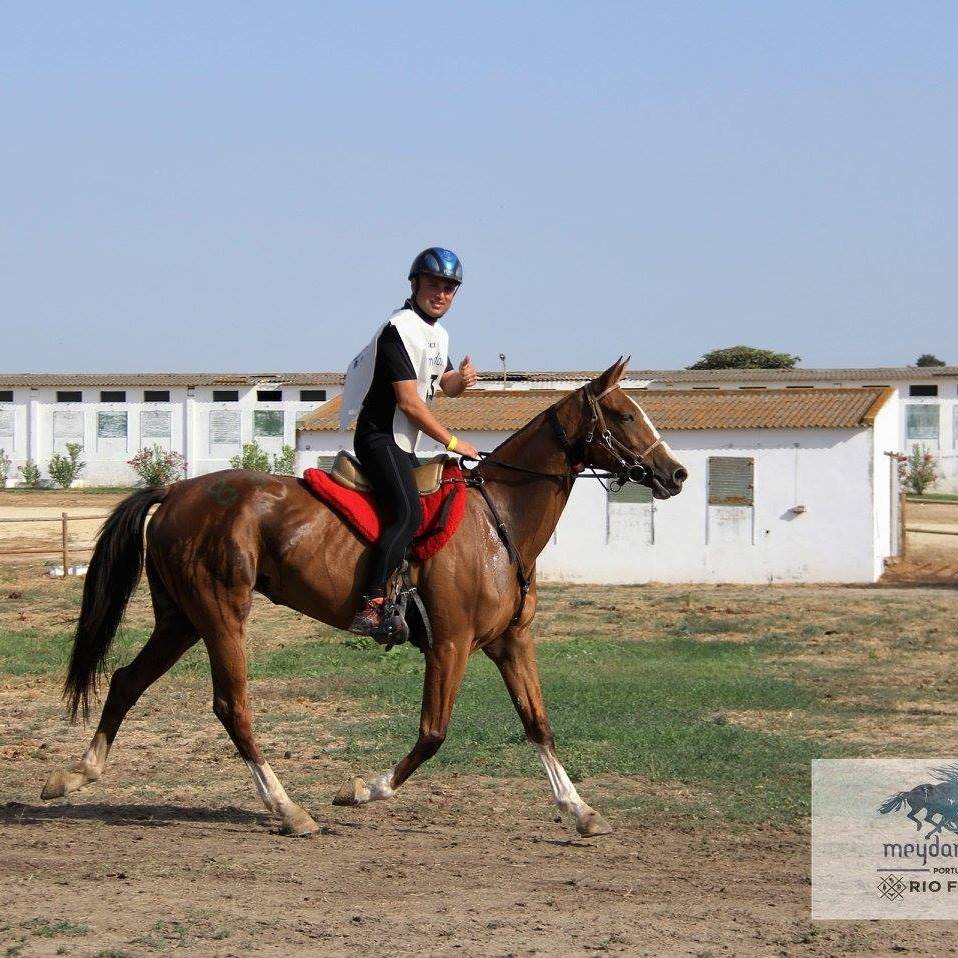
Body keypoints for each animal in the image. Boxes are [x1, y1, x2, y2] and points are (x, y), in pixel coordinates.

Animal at [43, 360, 688, 840]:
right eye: (624, 414)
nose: (676, 473)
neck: (498, 517)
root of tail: (176, 491)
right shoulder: (450, 645)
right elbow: (432, 733)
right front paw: (361, 790)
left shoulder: (509, 642)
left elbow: (539, 724)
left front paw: (580, 811)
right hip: (221, 615)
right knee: (232, 707)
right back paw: (288, 810)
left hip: (181, 619)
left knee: (126, 681)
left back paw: (75, 776)